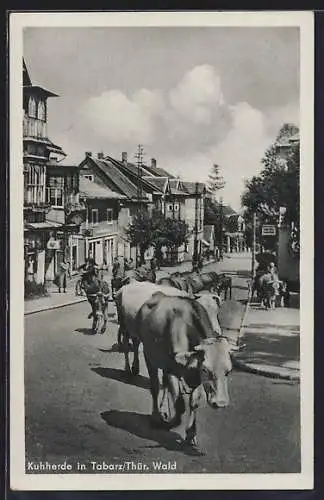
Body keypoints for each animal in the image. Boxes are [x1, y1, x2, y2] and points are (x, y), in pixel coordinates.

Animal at [116, 284, 230, 452]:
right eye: (206, 370)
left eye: (228, 371)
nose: (221, 403)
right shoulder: (172, 370)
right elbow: (180, 405)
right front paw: (170, 422)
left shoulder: (194, 376)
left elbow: (193, 402)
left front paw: (191, 434)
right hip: (137, 341)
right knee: (152, 382)